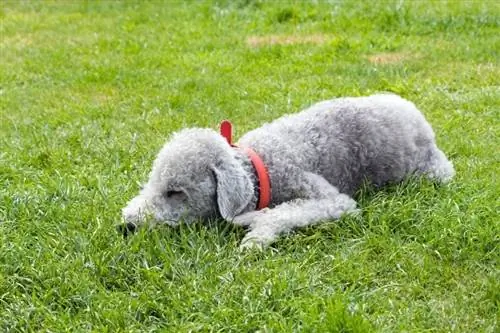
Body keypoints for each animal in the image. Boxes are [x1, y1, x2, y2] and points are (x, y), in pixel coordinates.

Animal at [120, 92, 454, 248]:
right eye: (151, 183)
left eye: (175, 192)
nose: (126, 226)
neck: (257, 168)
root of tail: (418, 116)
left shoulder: (333, 200)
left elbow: (283, 213)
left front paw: (255, 234)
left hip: (431, 172)